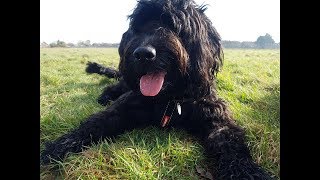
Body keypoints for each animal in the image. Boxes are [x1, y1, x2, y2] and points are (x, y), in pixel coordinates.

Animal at [41, 0, 274, 179]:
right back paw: (105, 94)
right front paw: (58, 147)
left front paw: (246, 172)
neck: (169, 98)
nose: (143, 54)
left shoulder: (217, 118)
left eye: (174, 25)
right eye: (139, 27)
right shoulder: (123, 107)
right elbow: (93, 124)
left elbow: (231, 144)